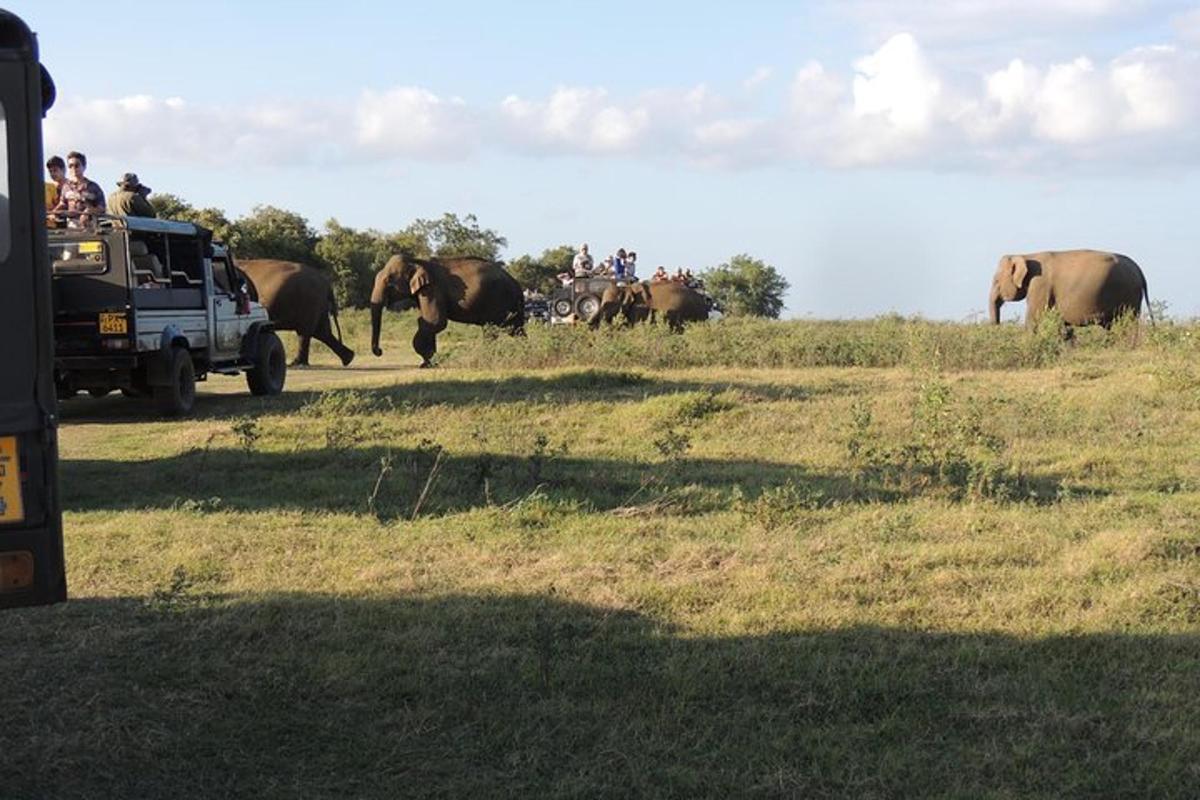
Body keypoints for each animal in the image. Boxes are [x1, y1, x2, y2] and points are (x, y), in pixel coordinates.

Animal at [369, 255, 525, 367]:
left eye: (389, 282)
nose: (380, 351)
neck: (416, 260)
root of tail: (517, 284)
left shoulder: (432, 289)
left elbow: (435, 322)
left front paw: (428, 363)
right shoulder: (424, 292)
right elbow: (427, 322)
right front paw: (428, 363)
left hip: (499, 299)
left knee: (493, 329)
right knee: (515, 330)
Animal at [984, 247, 1152, 328]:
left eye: (996, 281)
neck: (1027, 255)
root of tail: (1139, 269)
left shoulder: (1040, 285)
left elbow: (1033, 318)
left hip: (1129, 293)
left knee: (1128, 322)